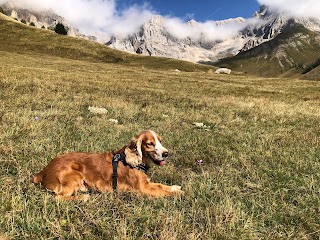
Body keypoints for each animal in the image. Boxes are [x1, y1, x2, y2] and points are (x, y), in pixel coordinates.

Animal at [32, 129, 184, 199]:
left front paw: (175, 187)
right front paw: (179, 194)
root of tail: (42, 171)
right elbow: (162, 191)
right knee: (59, 198)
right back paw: (84, 197)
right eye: (150, 144)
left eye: (160, 141)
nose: (166, 153)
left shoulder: (147, 184)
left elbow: (161, 185)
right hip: (74, 175)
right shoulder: (142, 189)